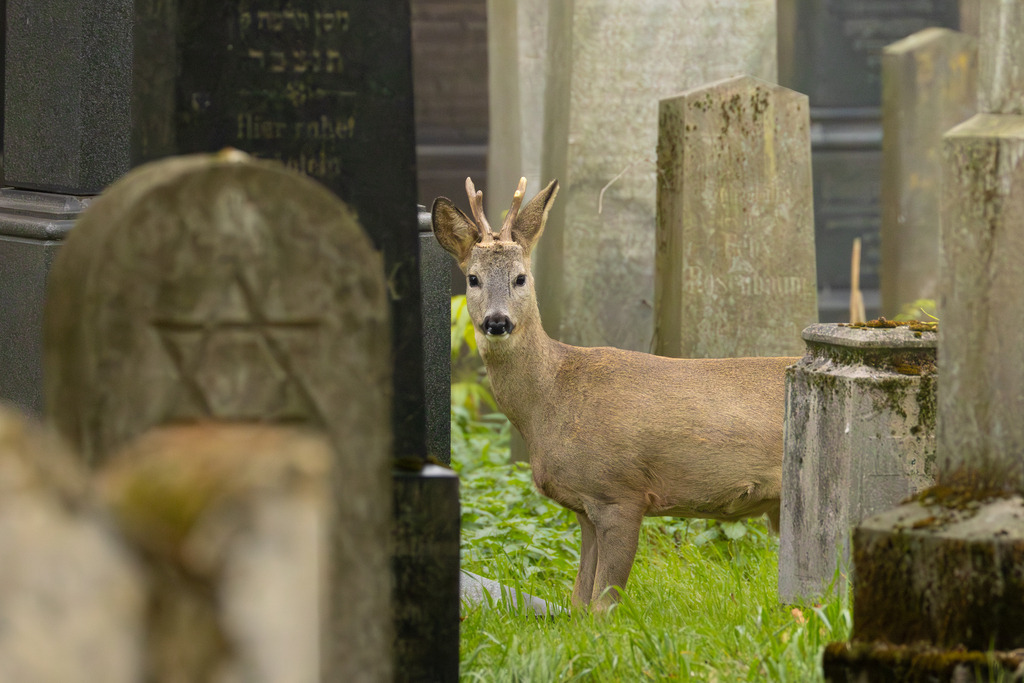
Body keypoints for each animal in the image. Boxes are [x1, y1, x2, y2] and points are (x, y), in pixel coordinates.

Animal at [431, 177, 798, 609]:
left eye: (521, 277)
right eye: (473, 278)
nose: (497, 322)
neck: (552, 399)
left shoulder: (619, 492)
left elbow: (603, 605)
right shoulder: (584, 506)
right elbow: (579, 601)